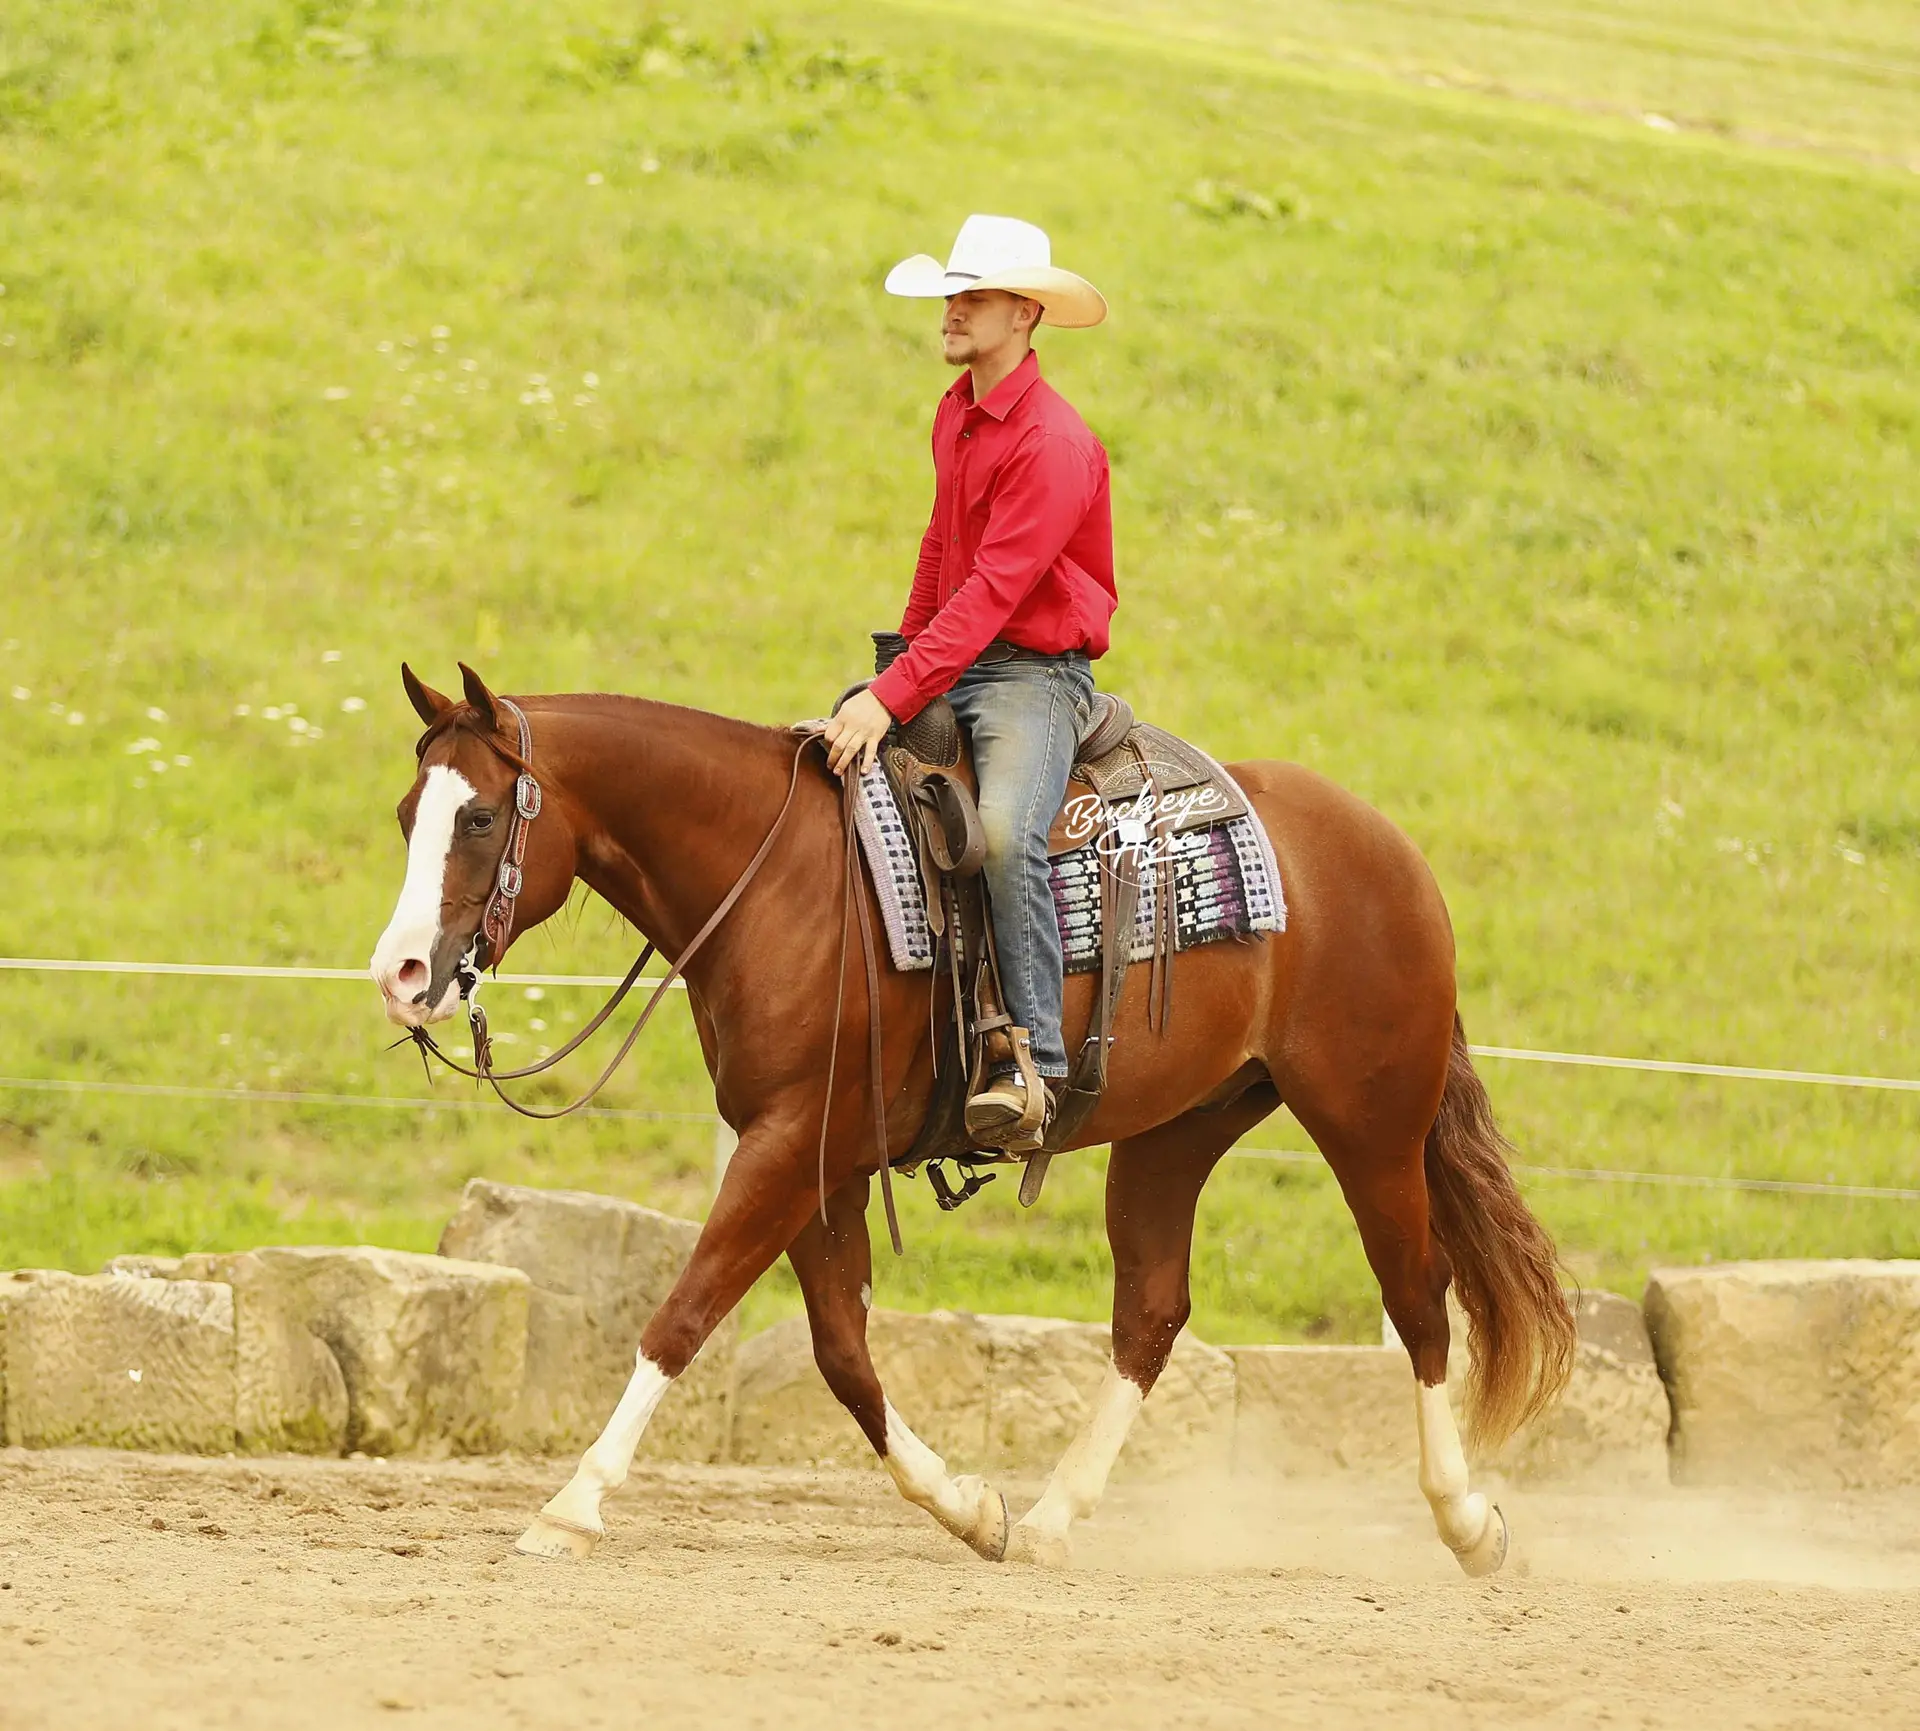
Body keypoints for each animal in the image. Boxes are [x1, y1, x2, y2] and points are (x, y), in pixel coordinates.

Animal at [369, 663, 1575, 1574]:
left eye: (480, 813)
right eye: (406, 814)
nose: (402, 973)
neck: (783, 877)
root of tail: (1392, 851)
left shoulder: (786, 1145)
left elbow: (684, 1315)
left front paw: (570, 1504)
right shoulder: (818, 1159)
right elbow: (843, 1353)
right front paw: (968, 1505)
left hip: (1371, 1123)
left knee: (1420, 1299)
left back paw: (1468, 1522)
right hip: (1177, 1131)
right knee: (1152, 1311)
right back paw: (1048, 1519)